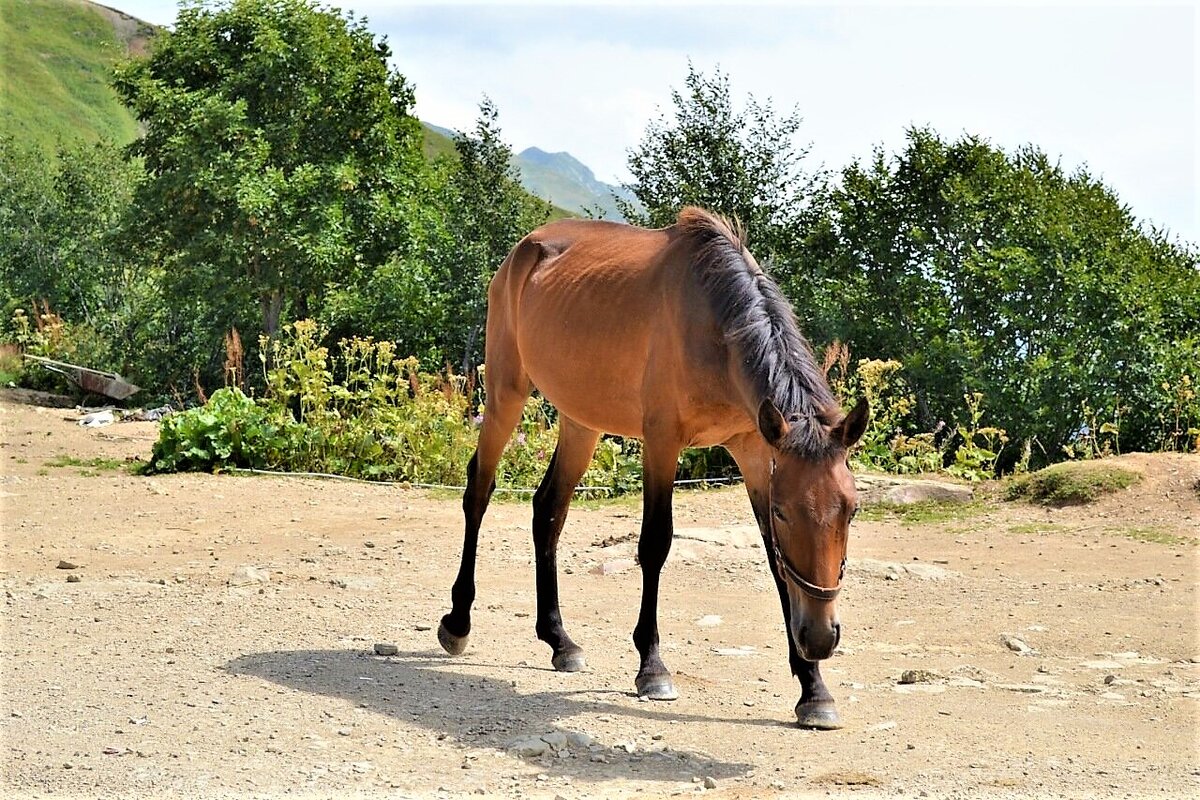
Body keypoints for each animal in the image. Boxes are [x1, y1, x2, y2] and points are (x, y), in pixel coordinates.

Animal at [436, 208, 868, 734]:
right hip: (505, 393)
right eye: (785, 512)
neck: (715, 325)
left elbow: (775, 561)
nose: (821, 637)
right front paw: (652, 667)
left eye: (850, 511)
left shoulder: (754, 450)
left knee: (548, 511)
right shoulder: (662, 443)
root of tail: (528, 246)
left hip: (582, 420)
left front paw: (813, 688)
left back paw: (559, 640)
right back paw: (457, 622)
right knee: (479, 491)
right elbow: (655, 544)